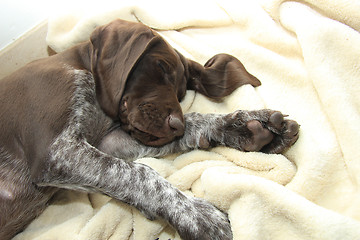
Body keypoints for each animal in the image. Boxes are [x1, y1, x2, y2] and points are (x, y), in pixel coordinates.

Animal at [0, 19, 298, 240]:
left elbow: (195, 120)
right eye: (160, 67)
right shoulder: (57, 151)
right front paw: (196, 215)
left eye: (182, 92)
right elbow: (142, 174)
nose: (176, 127)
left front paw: (246, 127)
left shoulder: (109, 142)